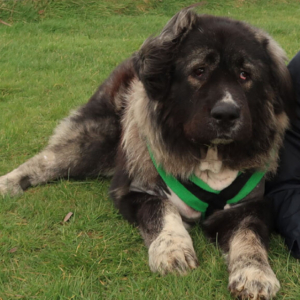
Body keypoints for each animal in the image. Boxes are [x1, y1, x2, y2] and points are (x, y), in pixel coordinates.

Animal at [0, 5, 296, 300]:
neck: (209, 155)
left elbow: (249, 237)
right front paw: (172, 249)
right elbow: (162, 211)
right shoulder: (136, 191)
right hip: (95, 141)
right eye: (199, 71)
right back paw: (8, 183)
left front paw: (255, 273)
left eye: (245, 75)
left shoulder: (250, 205)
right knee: (45, 161)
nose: (226, 113)